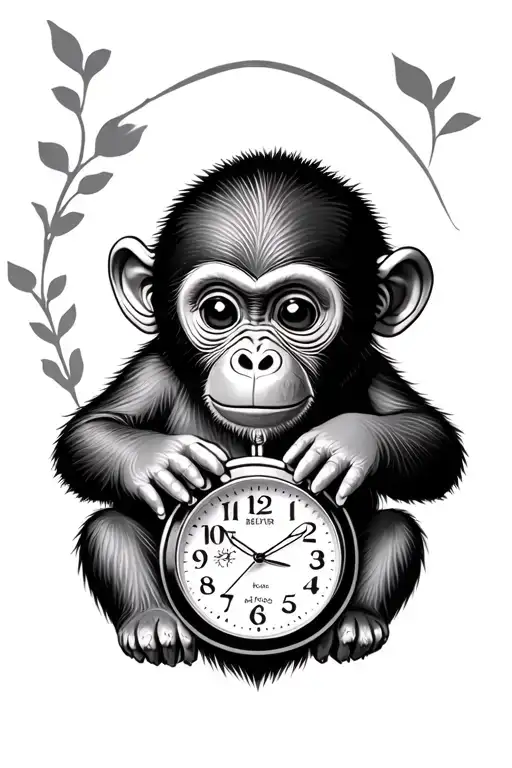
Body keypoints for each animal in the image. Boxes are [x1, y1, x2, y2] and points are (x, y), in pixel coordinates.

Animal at [54, 149, 465, 685]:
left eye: (295, 312)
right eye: (218, 310)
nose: (254, 358)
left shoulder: (374, 370)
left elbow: (431, 440)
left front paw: (343, 443)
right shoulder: (152, 370)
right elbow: (90, 433)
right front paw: (166, 460)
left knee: (399, 527)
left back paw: (355, 623)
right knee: (108, 529)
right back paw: (154, 624)